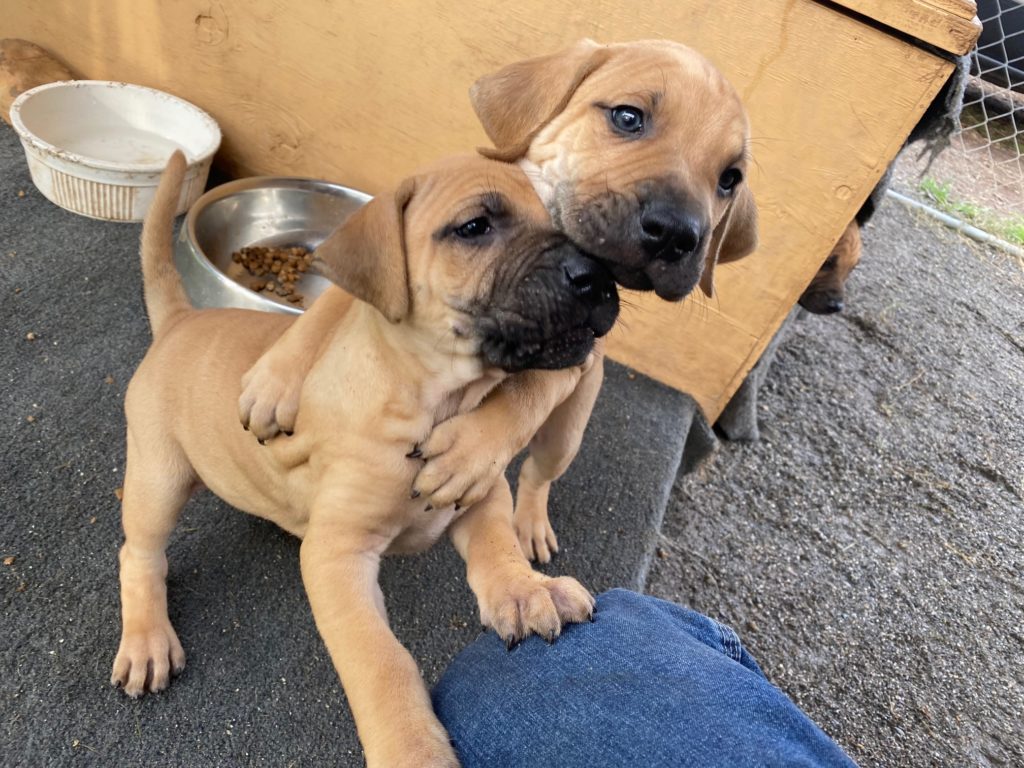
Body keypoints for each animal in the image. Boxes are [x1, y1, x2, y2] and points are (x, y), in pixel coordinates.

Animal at [116, 151, 618, 768]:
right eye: (475, 227)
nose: (601, 279)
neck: (431, 400)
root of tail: (182, 319)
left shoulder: (480, 490)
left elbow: (496, 544)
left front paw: (525, 591)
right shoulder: (337, 558)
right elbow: (381, 660)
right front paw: (410, 746)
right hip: (158, 475)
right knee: (140, 553)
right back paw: (146, 638)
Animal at [235, 37, 757, 561]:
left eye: (729, 179)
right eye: (628, 118)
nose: (676, 233)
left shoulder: (578, 348)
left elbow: (529, 388)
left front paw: (469, 452)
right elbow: (331, 304)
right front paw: (273, 381)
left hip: (566, 435)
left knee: (536, 473)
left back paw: (529, 523)